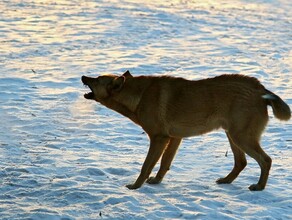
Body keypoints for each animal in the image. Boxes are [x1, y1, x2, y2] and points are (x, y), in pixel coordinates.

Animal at [81, 71, 290, 191]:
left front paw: (135, 186)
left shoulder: (158, 138)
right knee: (241, 162)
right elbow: (164, 163)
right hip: (233, 134)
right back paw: (226, 180)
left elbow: (146, 166)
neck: (138, 96)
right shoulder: (174, 138)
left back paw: (260, 187)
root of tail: (261, 90)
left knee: (266, 160)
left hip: (242, 137)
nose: (82, 77)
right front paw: (156, 182)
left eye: (97, 80)